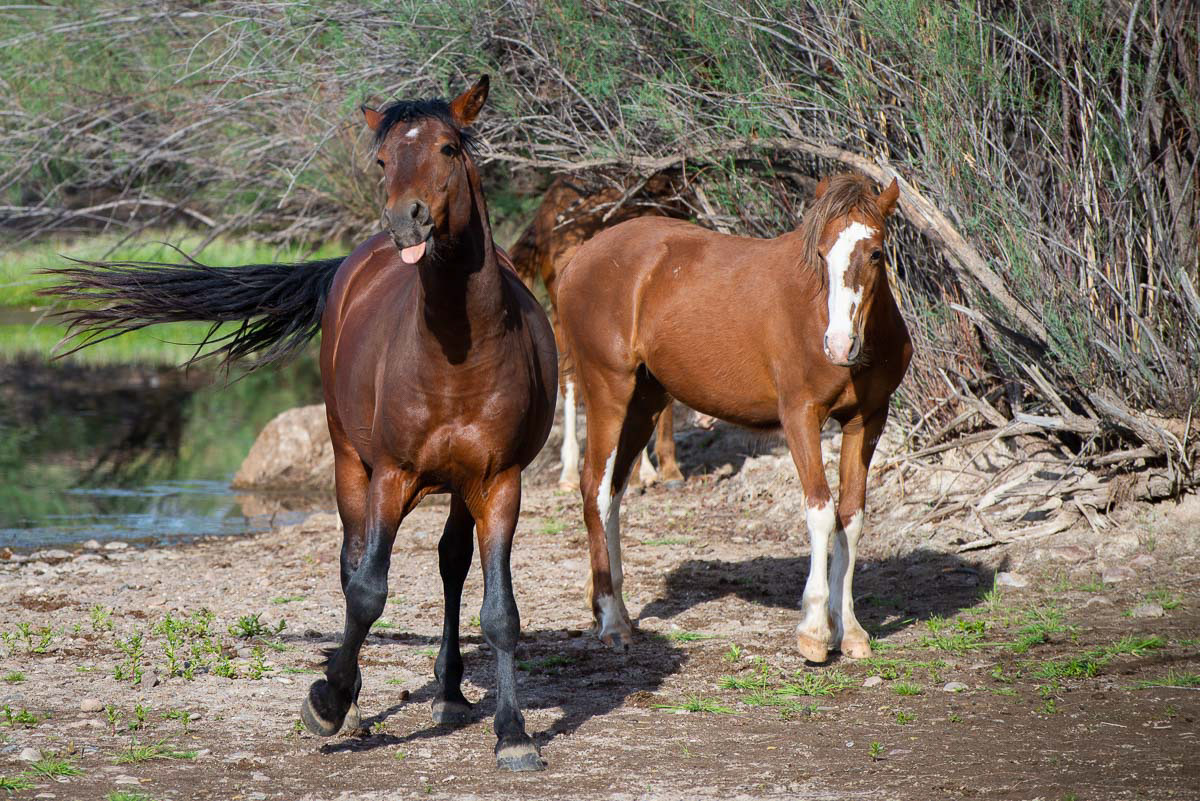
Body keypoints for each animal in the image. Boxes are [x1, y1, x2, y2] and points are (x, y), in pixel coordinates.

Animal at [45, 76, 558, 771]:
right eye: (381, 160)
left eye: (449, 148)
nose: (406, 219)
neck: (462, 353)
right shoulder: (391, 475)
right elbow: (366, 590)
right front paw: (329, 701)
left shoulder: (500, 481)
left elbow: (500, 610)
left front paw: (513, 734)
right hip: (349, 462)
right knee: (352, 564)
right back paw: (358, 701)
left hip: (457, 487)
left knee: (451, 566)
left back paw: (451, 694)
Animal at [557, 174, 911, 661]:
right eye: (821, 254)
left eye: (875, 253)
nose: (838, 344)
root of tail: (579, 258)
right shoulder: (801, 417)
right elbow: (821, 512)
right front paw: (814, 631)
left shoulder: (867, 421)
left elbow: (851, 518)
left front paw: (851, 630)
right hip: (609, 393)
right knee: (594, 489)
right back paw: (611, 621)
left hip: (643, 403)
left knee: (611, 494)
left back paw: (618, 614)